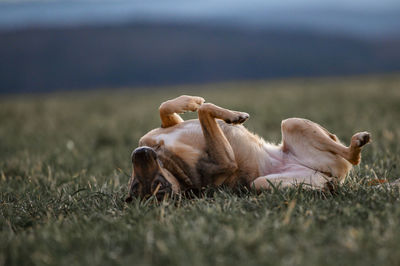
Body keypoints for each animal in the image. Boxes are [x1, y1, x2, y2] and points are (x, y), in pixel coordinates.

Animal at [125, 94, 372, 201]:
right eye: (153, 188)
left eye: (133, 184)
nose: (140, 153)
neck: (167, 162)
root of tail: (332, 174)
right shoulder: (224, 163)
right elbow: (205, 111)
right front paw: (234, 117)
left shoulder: (165, 128)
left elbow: (166, 107)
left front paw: (191, 101)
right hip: (262, 182)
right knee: (351, 161)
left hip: (293, 124)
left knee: (341, 149)